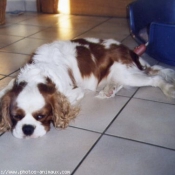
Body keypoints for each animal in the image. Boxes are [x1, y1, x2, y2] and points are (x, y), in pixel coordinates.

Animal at [0, 38, 175, 138]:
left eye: (41, 116)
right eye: (16, 116)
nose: (27, 129)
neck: (39, 73)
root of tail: (130, 50)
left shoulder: (75, 91)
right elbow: (5, 88)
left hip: (128, 75)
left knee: (155, 79)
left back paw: (169, 89)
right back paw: (109, 89)